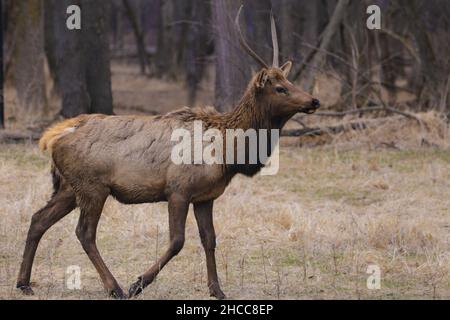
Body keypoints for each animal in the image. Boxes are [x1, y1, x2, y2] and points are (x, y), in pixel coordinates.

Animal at [16, 6, 320, 298]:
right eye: (280, 88)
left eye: (291, 83)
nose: (314, 100)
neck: (227, 154)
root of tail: (53, 136)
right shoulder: (178, 190)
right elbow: (177, 241)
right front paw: (137, 283)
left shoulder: (205, 197)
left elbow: (210, 240)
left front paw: (217, 290)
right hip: (92, 187)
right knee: (84, 233)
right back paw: (115, 288)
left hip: (69, 187)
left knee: (38, 219)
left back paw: (24, 283)